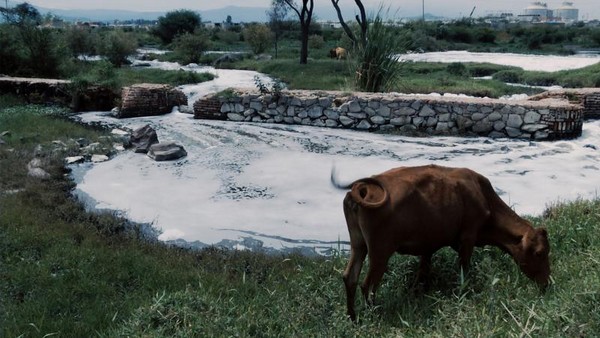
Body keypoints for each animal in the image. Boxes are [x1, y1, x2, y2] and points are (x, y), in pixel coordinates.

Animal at [330, 165, 552, 320]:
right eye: (540, 252)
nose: (546, 284)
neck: (484, 197)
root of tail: (363, 187)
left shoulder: (428, 244)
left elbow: (422, 273)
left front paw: (418, 295)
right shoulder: (468, 236)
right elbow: (463, 268)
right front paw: (462, 292)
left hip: (358, 245)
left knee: (350, 277)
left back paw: (353, 318)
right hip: (380, 251)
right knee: (368, 285)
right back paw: (373, 315)